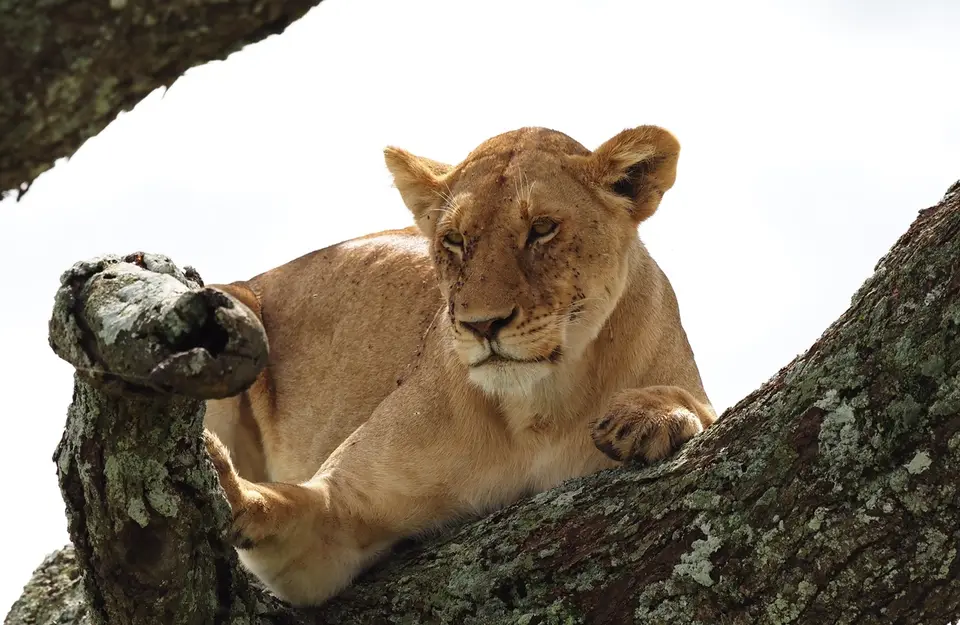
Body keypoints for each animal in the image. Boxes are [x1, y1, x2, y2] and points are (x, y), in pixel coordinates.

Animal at [202, 125, 717, 606]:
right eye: (453, 239)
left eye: (542, 228)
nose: (482, 324)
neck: (537, 410)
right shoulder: (341, 516)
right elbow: (289, 508)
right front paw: (222, 481)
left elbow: (698, 405)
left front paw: (647, 417)